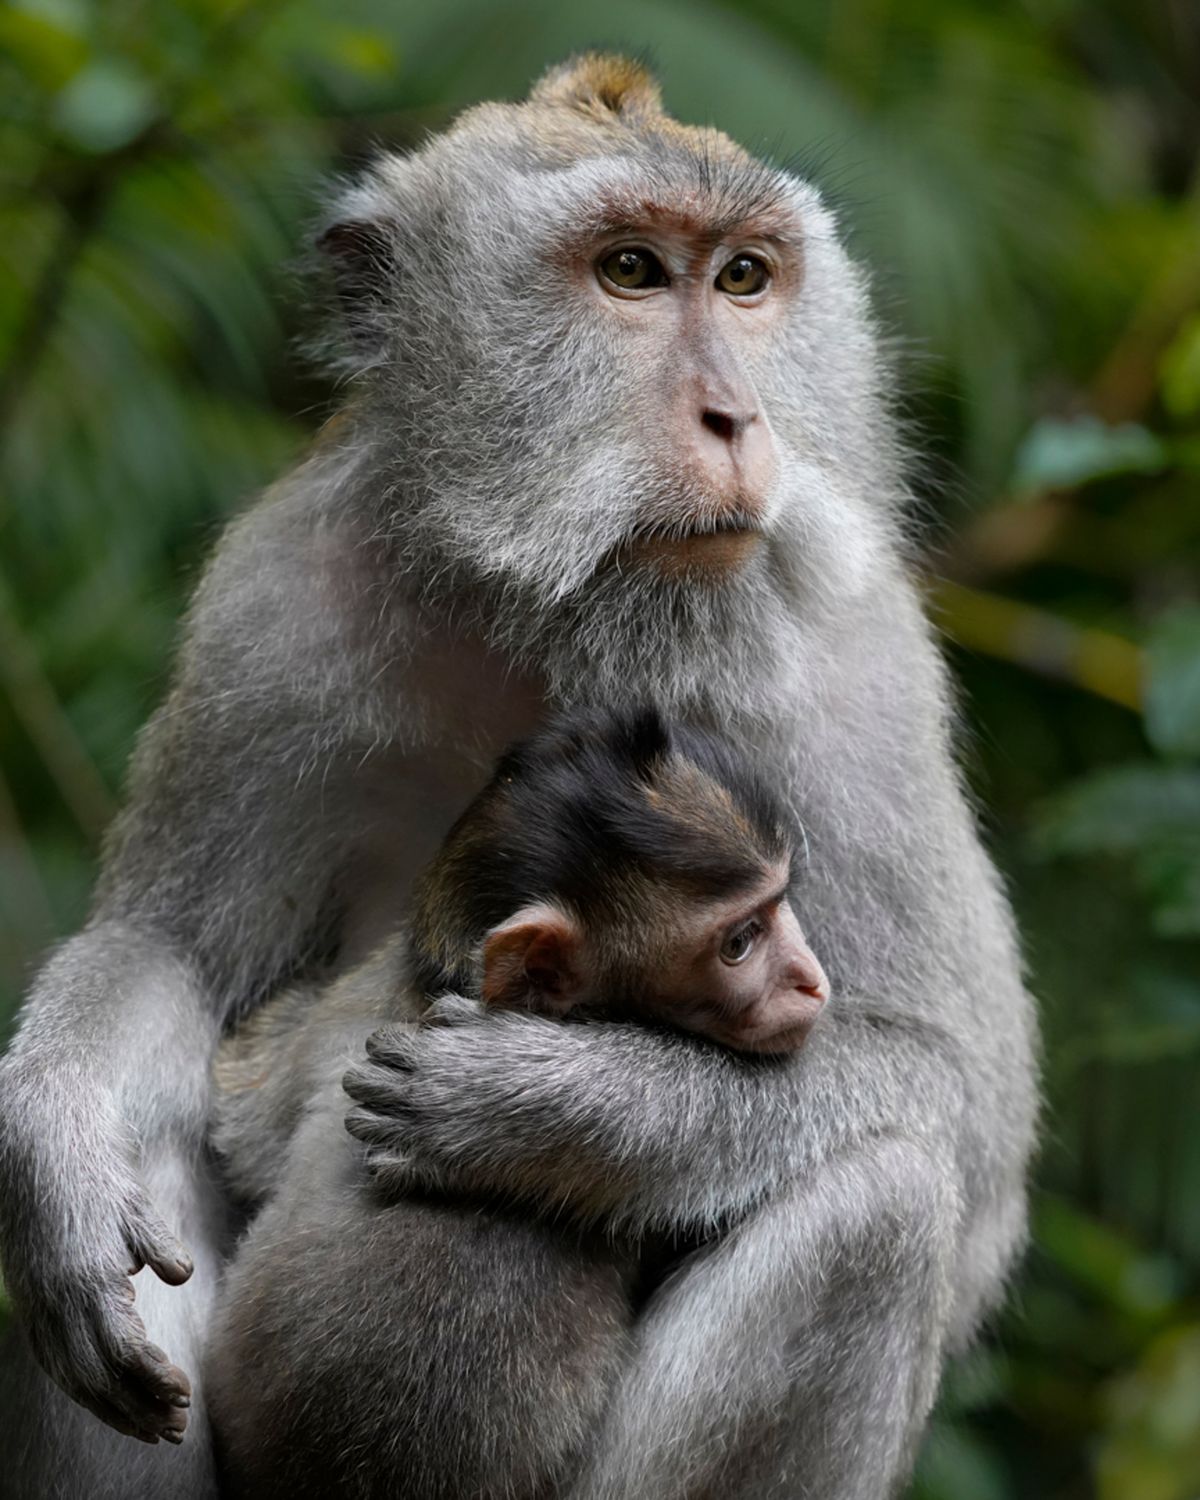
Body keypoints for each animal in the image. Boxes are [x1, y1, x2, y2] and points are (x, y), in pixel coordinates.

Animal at [0, 52, 1038, 1500]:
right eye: (631, 272)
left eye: (746, 279)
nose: (737, 417)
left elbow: (958, 1097)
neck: (566, 615)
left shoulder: (858, 667)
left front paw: (554, 1110)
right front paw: (55, 1164)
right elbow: (177, 958)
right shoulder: (278, 607)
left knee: (878, 1208)